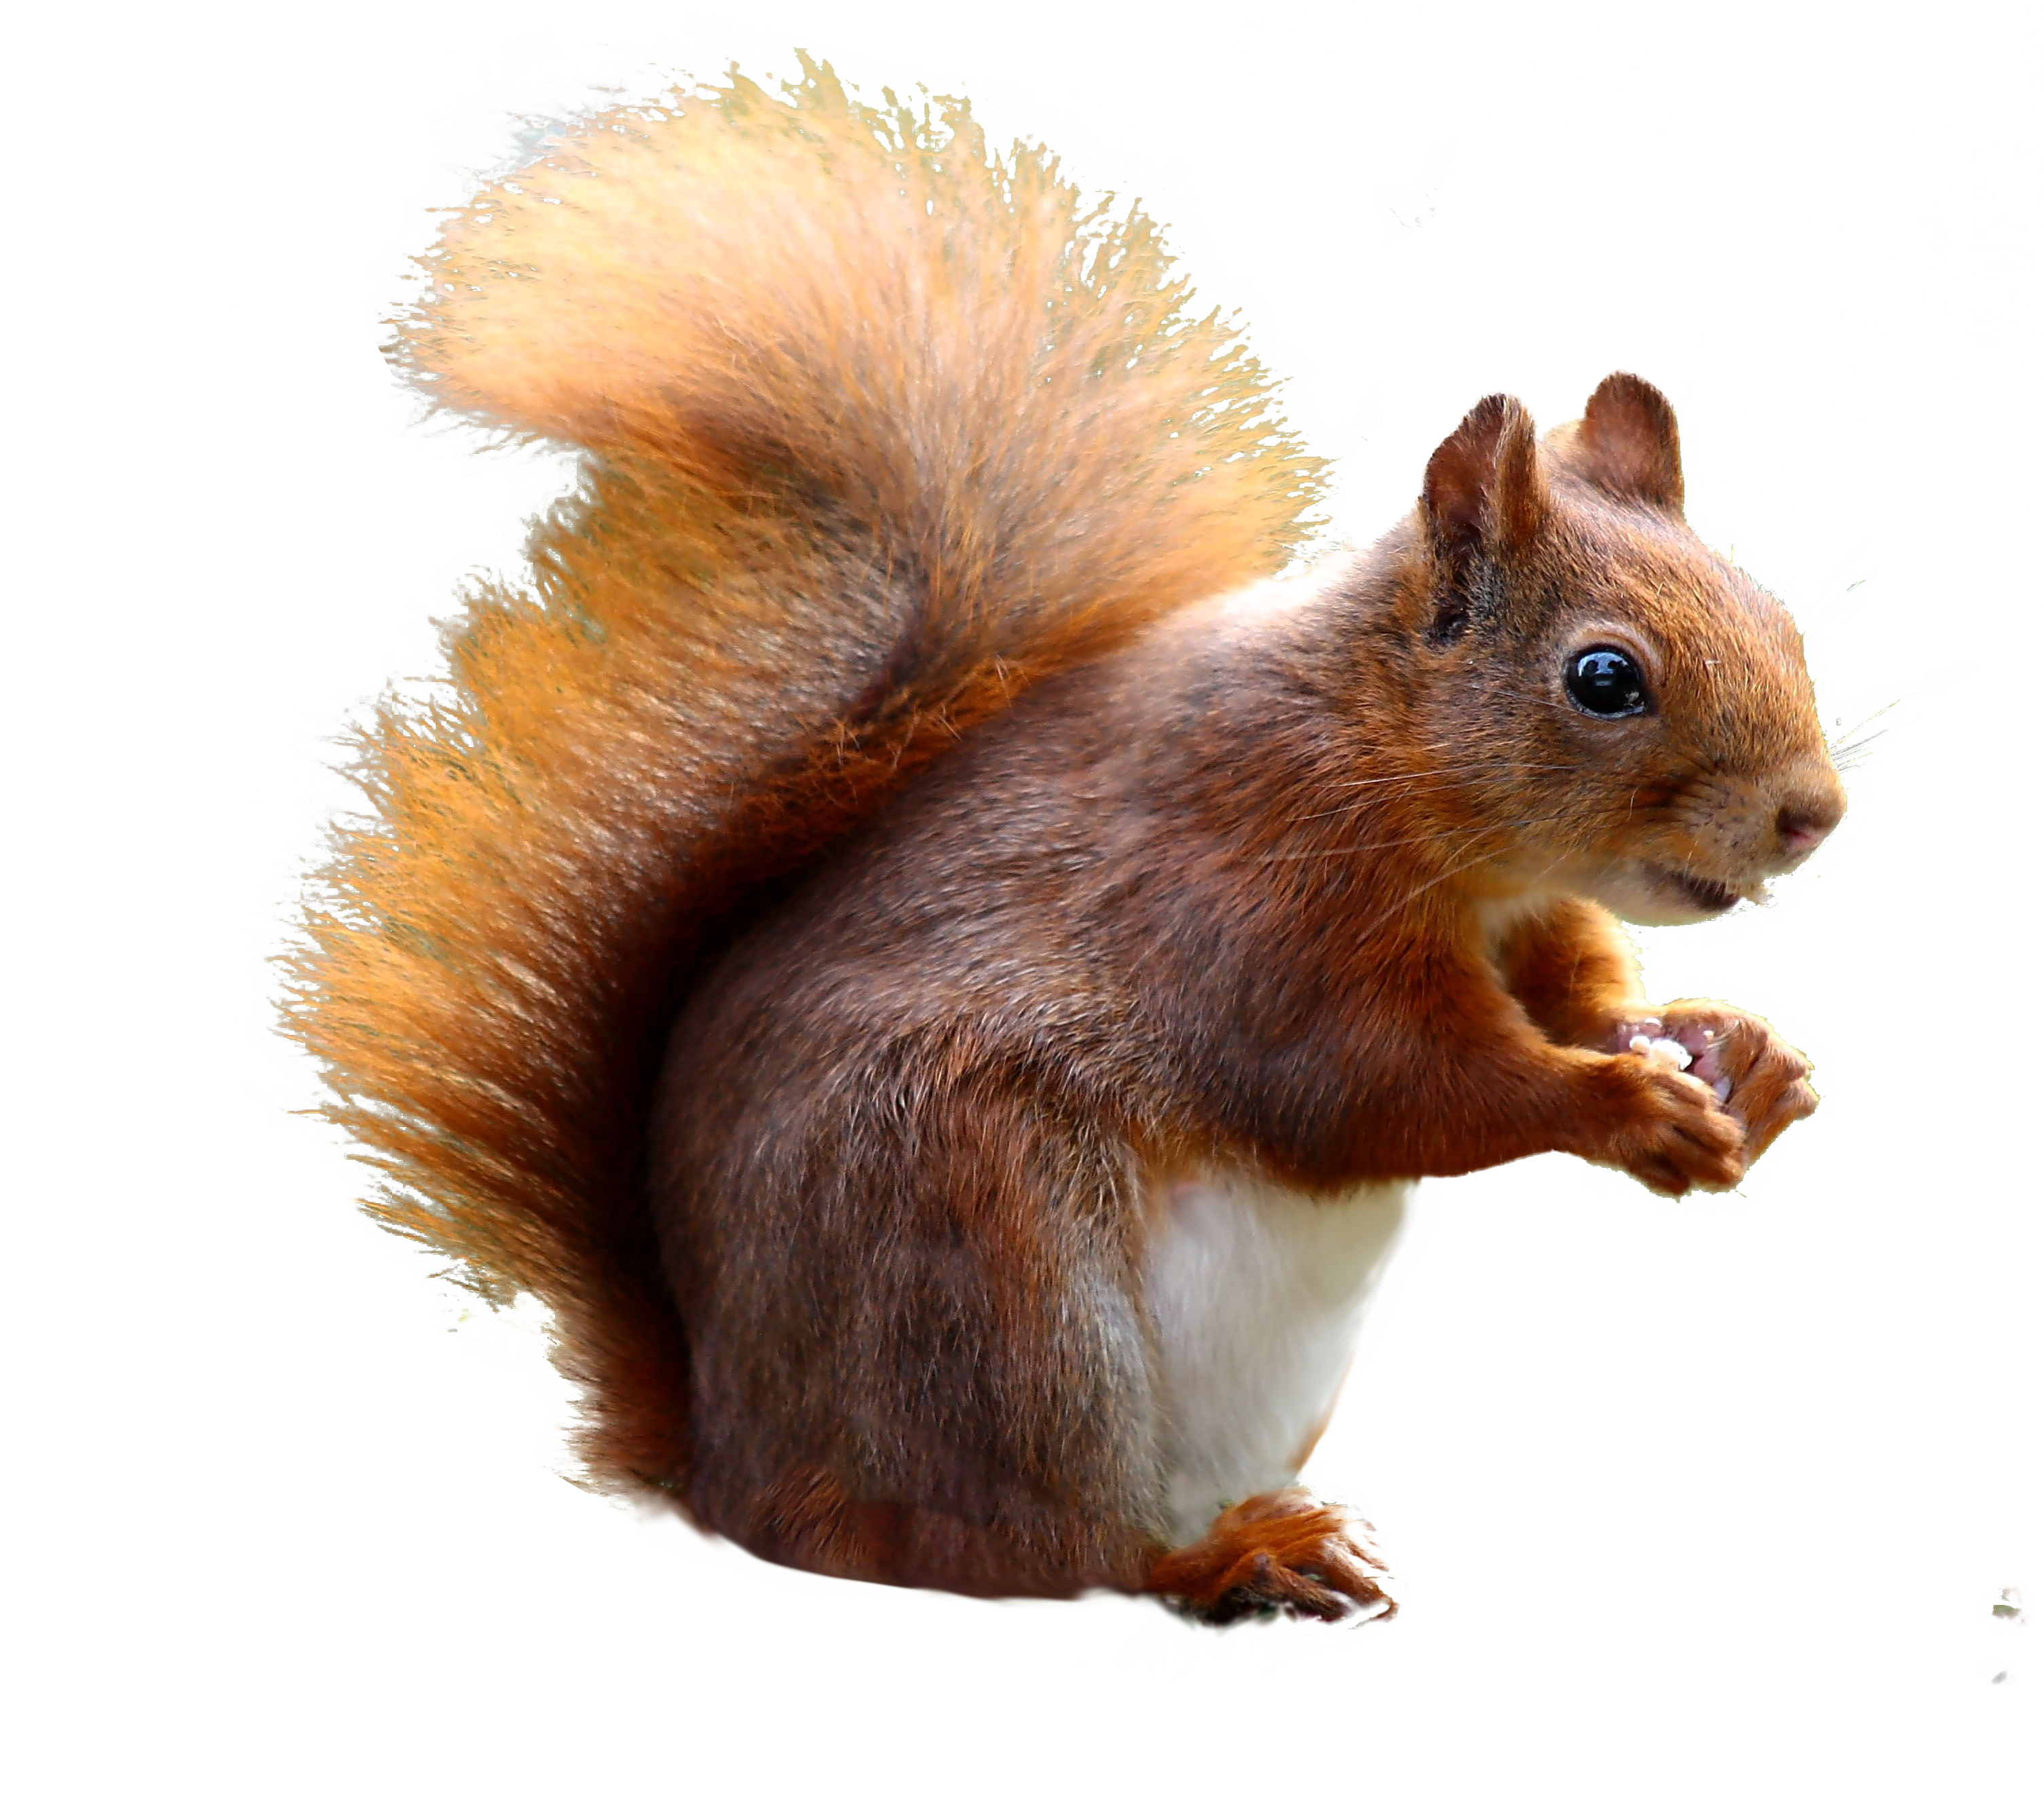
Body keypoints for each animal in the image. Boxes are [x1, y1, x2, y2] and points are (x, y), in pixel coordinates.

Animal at [264, 34, 1846, 1631]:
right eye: (1604, 679)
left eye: (1772, 616)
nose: (1811, 816)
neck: (1414, 791)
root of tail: (727, 1471)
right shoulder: (1252, 897)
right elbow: (1383, 1086)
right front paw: (1627, 1108)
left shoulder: (1529, 916)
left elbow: (1575, 996)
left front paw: (1736, 1058)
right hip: (983, 1267)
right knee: (1032, 1557)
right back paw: (1236, 1558)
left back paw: (1396, 1533)